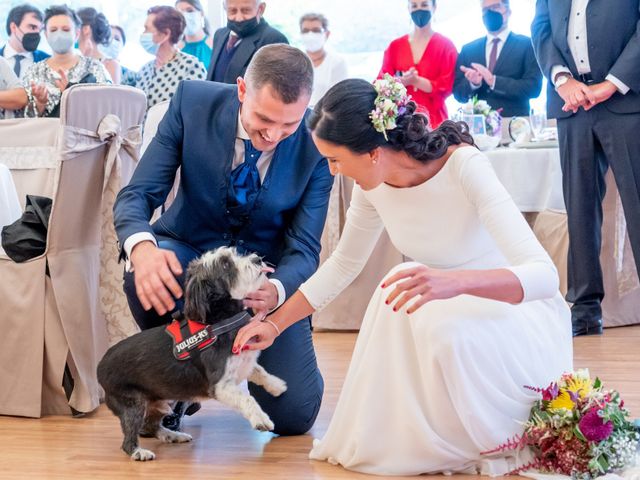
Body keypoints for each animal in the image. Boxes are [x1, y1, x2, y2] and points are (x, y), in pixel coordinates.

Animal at [97, 248, 288, 462]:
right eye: (225, 265)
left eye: (234, 253)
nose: (257, 259)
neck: (220, 321)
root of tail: (100, 366)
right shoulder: (220, 386)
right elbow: (247, 399)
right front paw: (261, 418)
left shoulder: (244, 360)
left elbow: (259, 371)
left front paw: (276, 385)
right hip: (132, 403)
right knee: (128, 438)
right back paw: (138, 452)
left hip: (164, 398)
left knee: (151, 425)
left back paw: (172, 435)